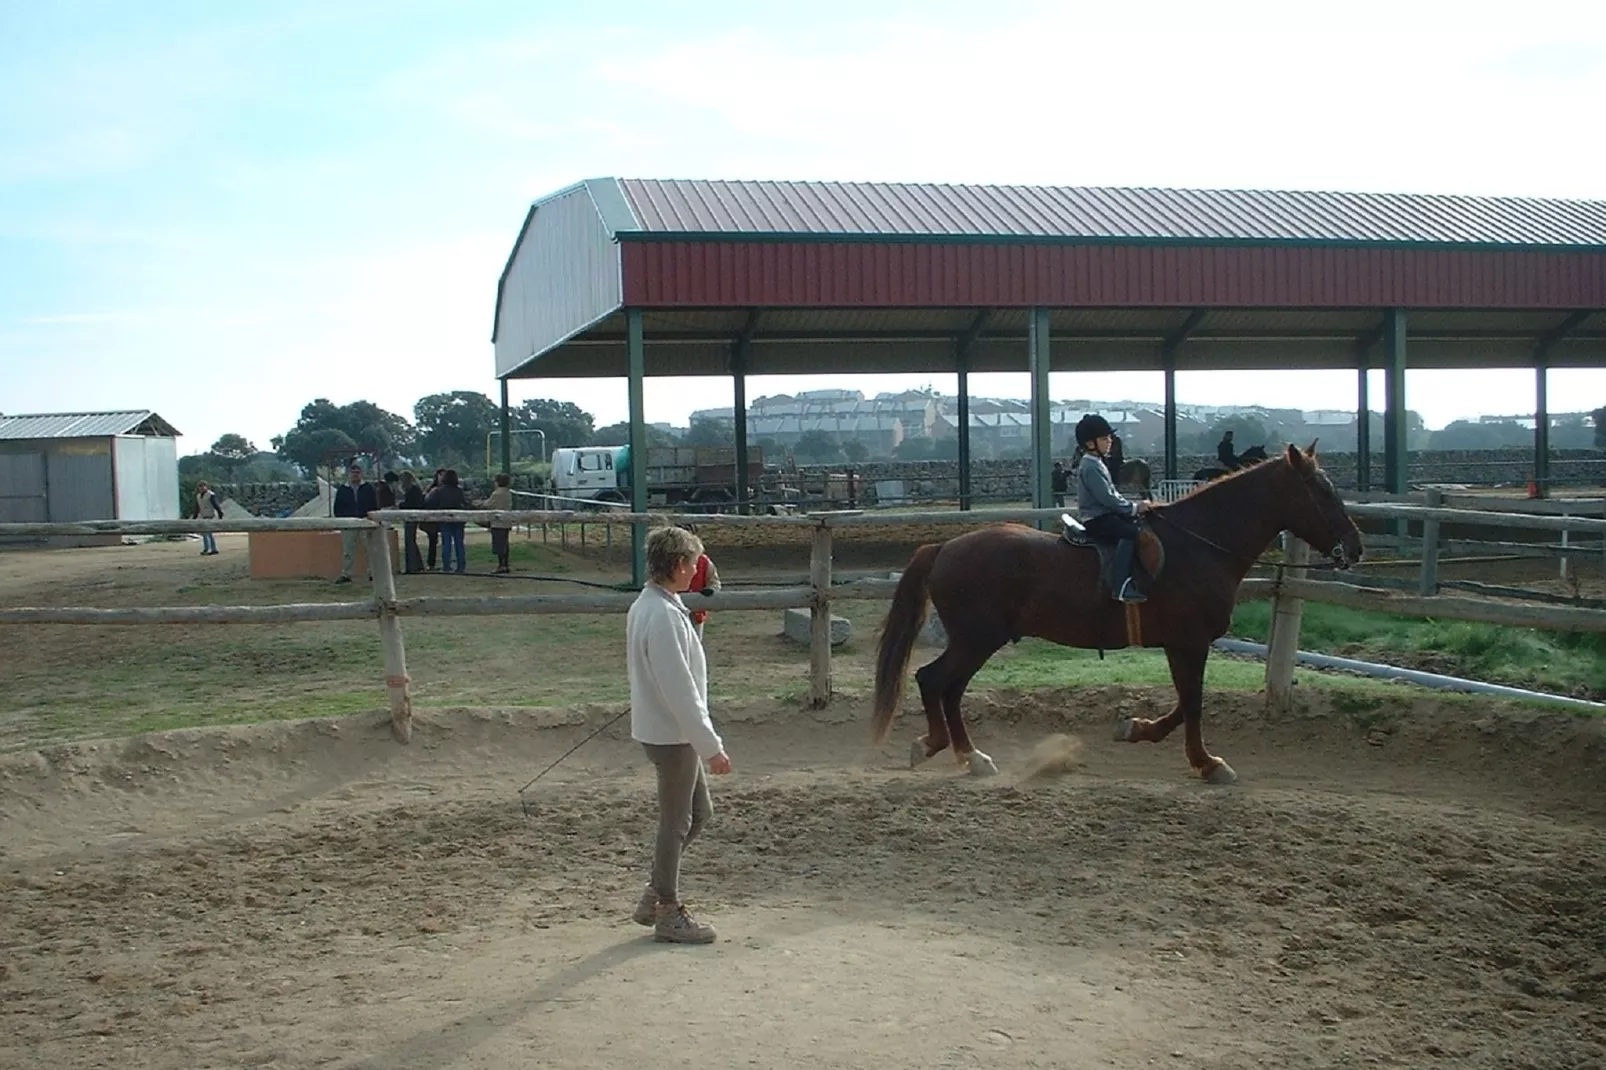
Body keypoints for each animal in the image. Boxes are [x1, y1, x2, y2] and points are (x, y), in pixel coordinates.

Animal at [873, 443, 1361, 784]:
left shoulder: (1182, 644)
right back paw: (941, 748)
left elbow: (1185, 703)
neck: (1199, 545)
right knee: (934, 681)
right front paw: (1208, 763)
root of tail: (945, 547)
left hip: (976, 640)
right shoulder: (1189, 642)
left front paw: (1136, 729)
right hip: (976, 639)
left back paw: (969, 756)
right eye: (1322, 491)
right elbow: (1194, 702)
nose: (1355, 548)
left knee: (950, 689)